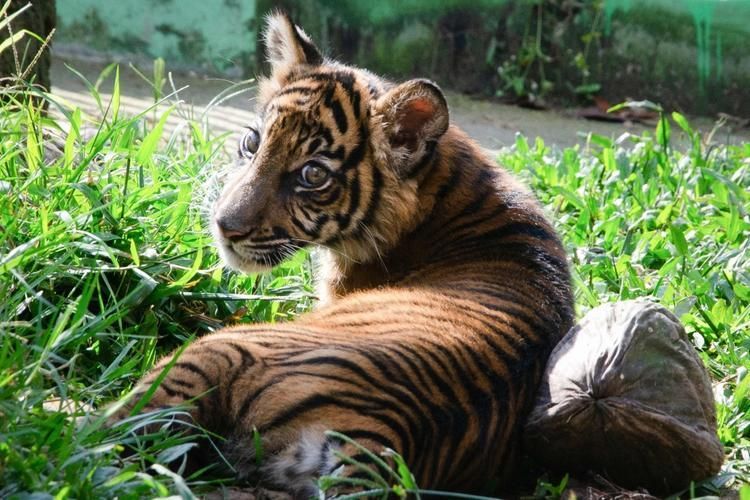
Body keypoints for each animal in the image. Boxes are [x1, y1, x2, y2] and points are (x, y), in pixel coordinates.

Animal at [114, 12, 574, 498]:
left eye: (313, 175)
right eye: (252, 143)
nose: (224, 226)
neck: (443, 191)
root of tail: (377, 440)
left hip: (212, 354)